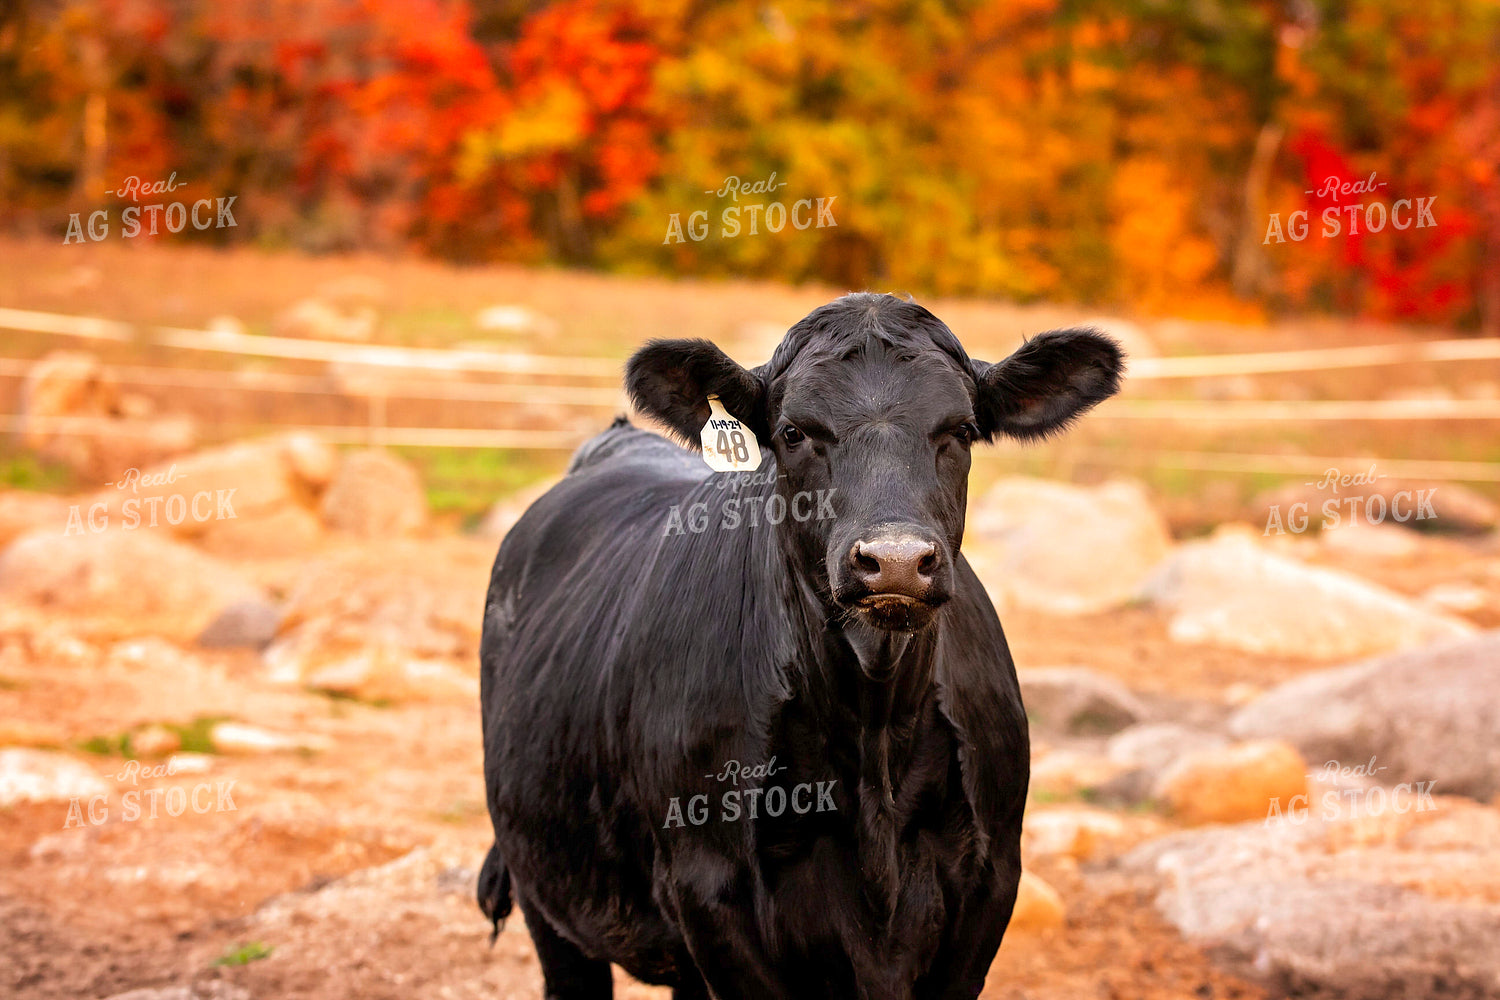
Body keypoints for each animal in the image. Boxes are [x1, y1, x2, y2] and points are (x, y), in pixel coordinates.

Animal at [478, 292, 1124, 999]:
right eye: (793, 433)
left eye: (960, 431)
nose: (896, 561)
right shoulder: (711, 896)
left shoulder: (988, 886)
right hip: (546, 893)